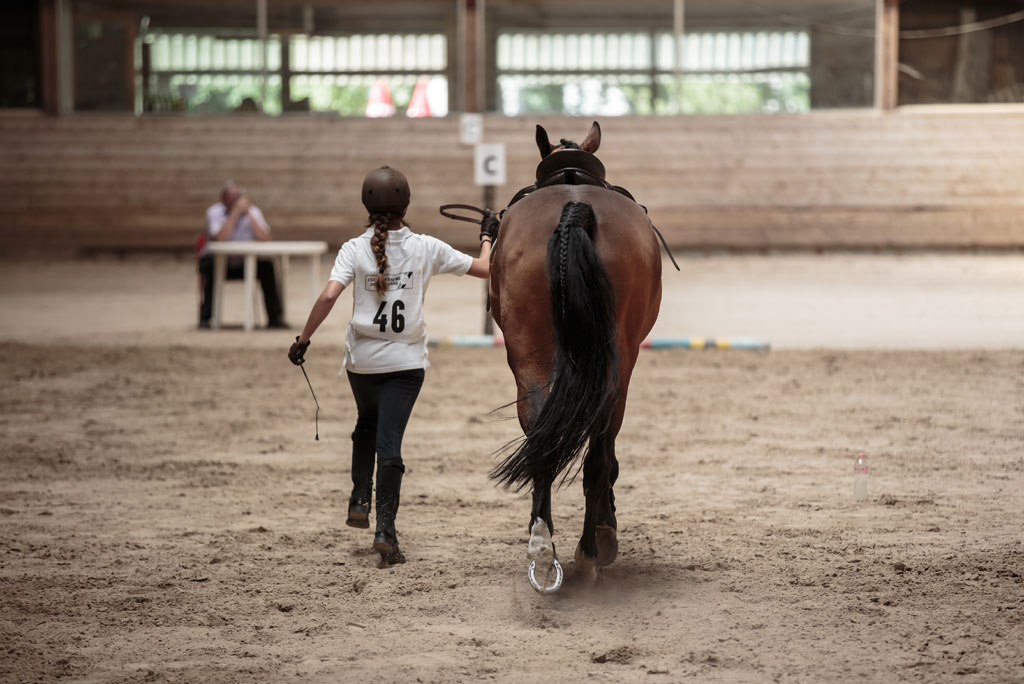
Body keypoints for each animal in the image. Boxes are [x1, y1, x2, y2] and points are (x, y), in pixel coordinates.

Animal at [489, 120, 663, 589]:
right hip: (613, 369)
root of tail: (575, 208)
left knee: (543, 438)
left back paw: (545, 548)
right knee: (598, 453)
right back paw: (592, 548)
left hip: (531, 359)